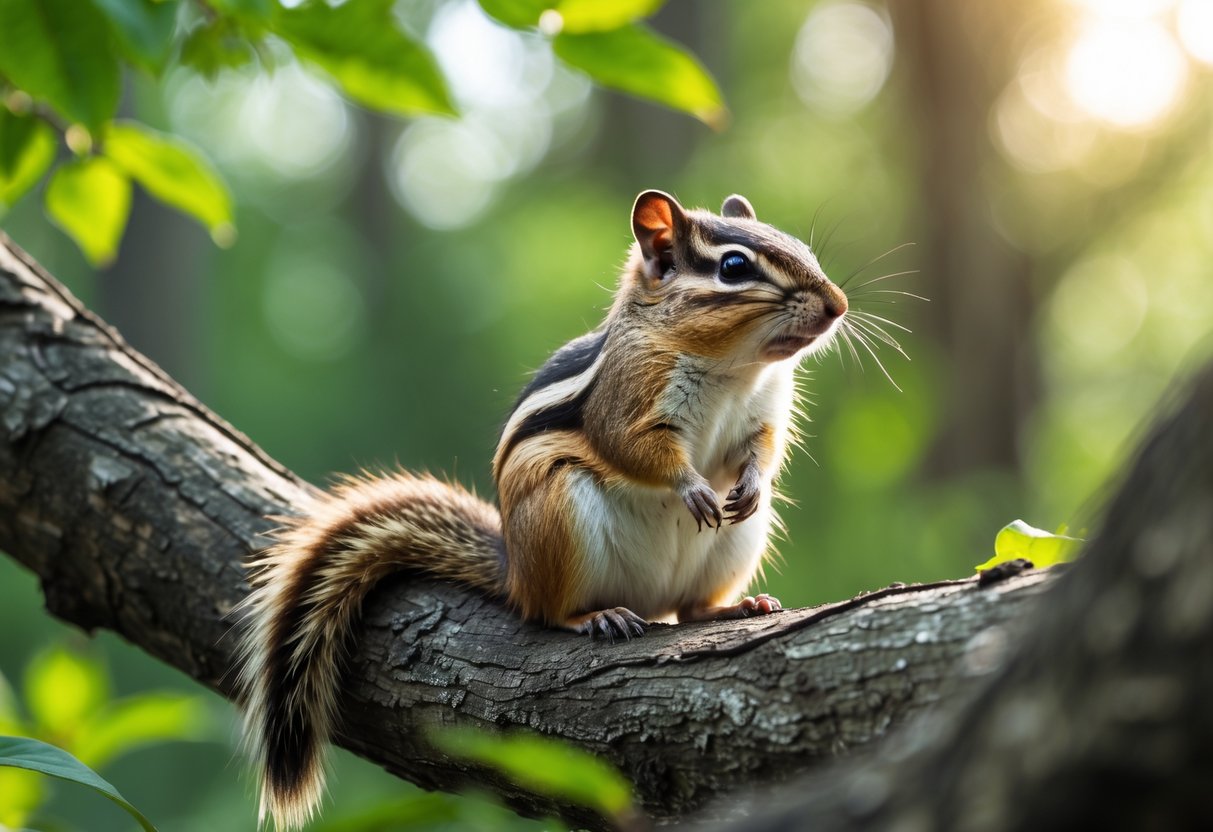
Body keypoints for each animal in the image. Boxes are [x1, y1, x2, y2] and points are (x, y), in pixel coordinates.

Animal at [237, 190, 849, 829]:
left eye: (801, 247)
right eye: (733, 267)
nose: (839, 305)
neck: (735, 369)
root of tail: (515, 572)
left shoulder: (765, 410)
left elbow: (763, 449)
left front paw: (749, 483)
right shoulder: (627, 398)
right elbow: (635, 449)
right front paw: (691, 488)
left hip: (732, 547)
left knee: (688, 611)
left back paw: (734, 607)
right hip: (559, 515)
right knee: (548, 613)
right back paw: (595, 617)